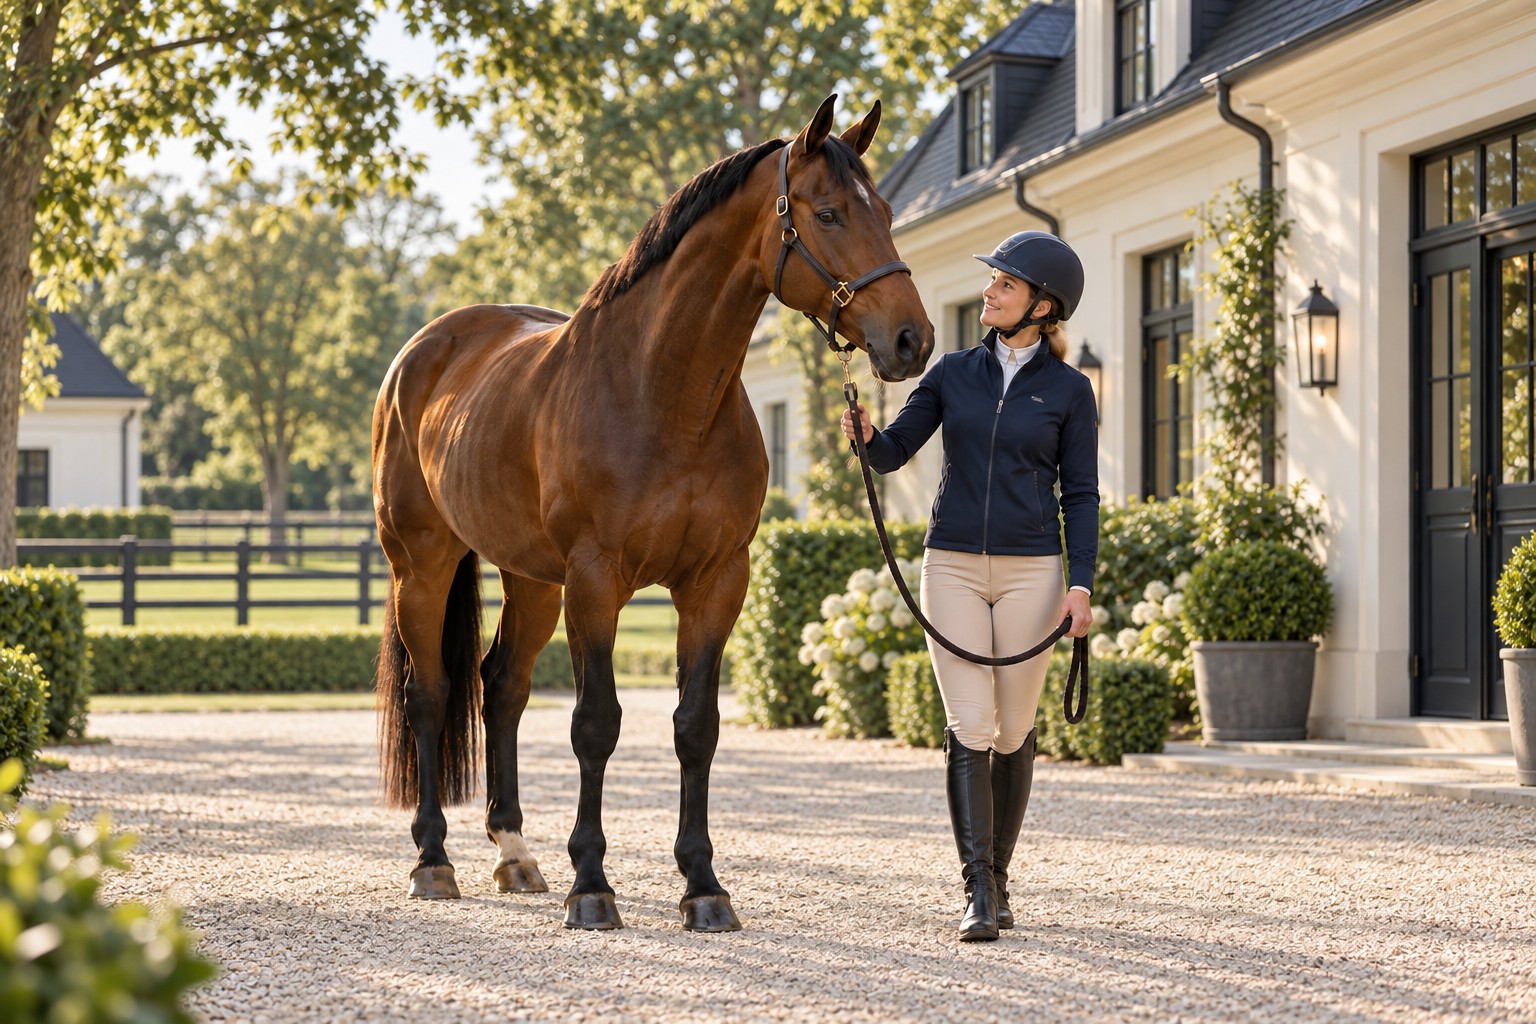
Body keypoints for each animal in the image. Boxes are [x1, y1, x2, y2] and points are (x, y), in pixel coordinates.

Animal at [371, 94, 934, 932]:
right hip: (423, 563)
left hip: (530, 578)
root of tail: (422, 353)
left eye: (889, 212)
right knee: (433, 695)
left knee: (502, 686)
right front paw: (592, 886)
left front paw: (703, 885)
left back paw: (515, 853)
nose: (910, 340)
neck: (662, 393)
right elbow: (596, 724)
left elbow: (695, 727)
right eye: (829, 212)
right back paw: (433, 861)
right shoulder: (596, 580)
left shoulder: (716, 581)